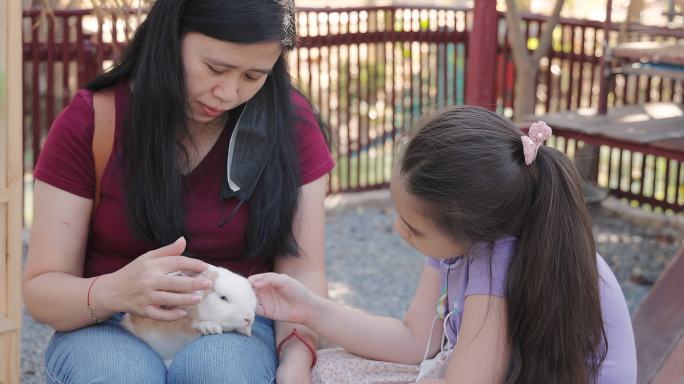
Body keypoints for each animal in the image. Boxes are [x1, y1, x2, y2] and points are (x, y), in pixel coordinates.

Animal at [120, 264, 256, 366]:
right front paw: (211, 327)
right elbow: (191, 323)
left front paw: (246, 330)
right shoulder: (177, 318)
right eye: (223, 298)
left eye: (251, 294)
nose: (249, 318)